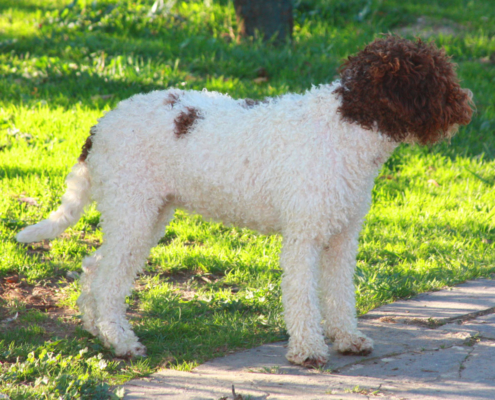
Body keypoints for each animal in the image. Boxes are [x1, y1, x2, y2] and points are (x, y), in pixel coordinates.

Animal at [15, 36, 472, 366]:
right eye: (436, 77)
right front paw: (308, 350)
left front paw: (349, 339)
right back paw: (123, 343)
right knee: (108, 280)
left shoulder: (342, 237)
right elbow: (303, 297)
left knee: (95, 268)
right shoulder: (304, 237)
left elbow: (341, 295)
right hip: (134, 211)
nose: (467, 105)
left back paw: (98, 331)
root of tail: (100, 124)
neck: (347, 127)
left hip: (145, 214)